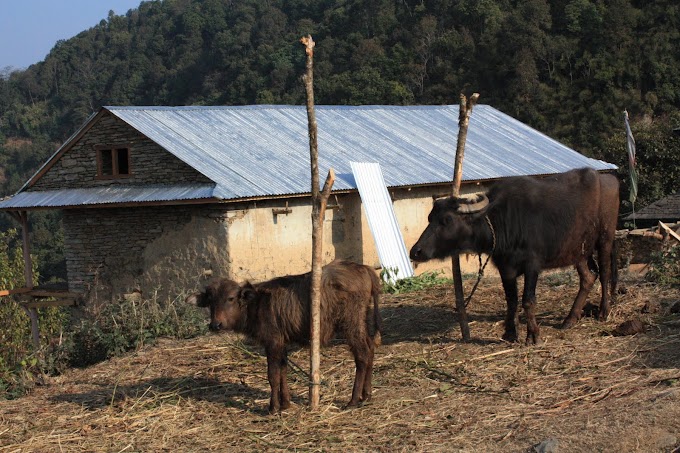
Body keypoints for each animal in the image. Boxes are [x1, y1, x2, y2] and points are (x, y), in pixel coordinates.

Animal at [186, 258, 382, 414]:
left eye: (231, 298)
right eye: (210, 301)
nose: (215, 325)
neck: (257, 305)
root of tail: (364, 269)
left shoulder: (272, 343)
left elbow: (273, 375)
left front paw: (273, 408)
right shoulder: (281, 344)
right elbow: (283, 370)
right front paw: (286, 403)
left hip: (351, 323)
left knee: (362, 355)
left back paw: (353, 400)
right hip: (362, 319)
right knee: (371, 348)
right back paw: (367, 395)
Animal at [410, 168, 620, 344]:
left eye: (447, 220)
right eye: (430, 218)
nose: (415, 251)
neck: (502, 220)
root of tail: (609, 179)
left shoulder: (532, 265)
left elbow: (528, 300)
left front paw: (533, 335)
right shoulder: (506, 268)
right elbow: (511, 300)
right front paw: (510, 333)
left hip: (605, 238)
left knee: (604, 273)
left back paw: (604, 311)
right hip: (578, 250)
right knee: (588, 277)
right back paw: (570, 319)